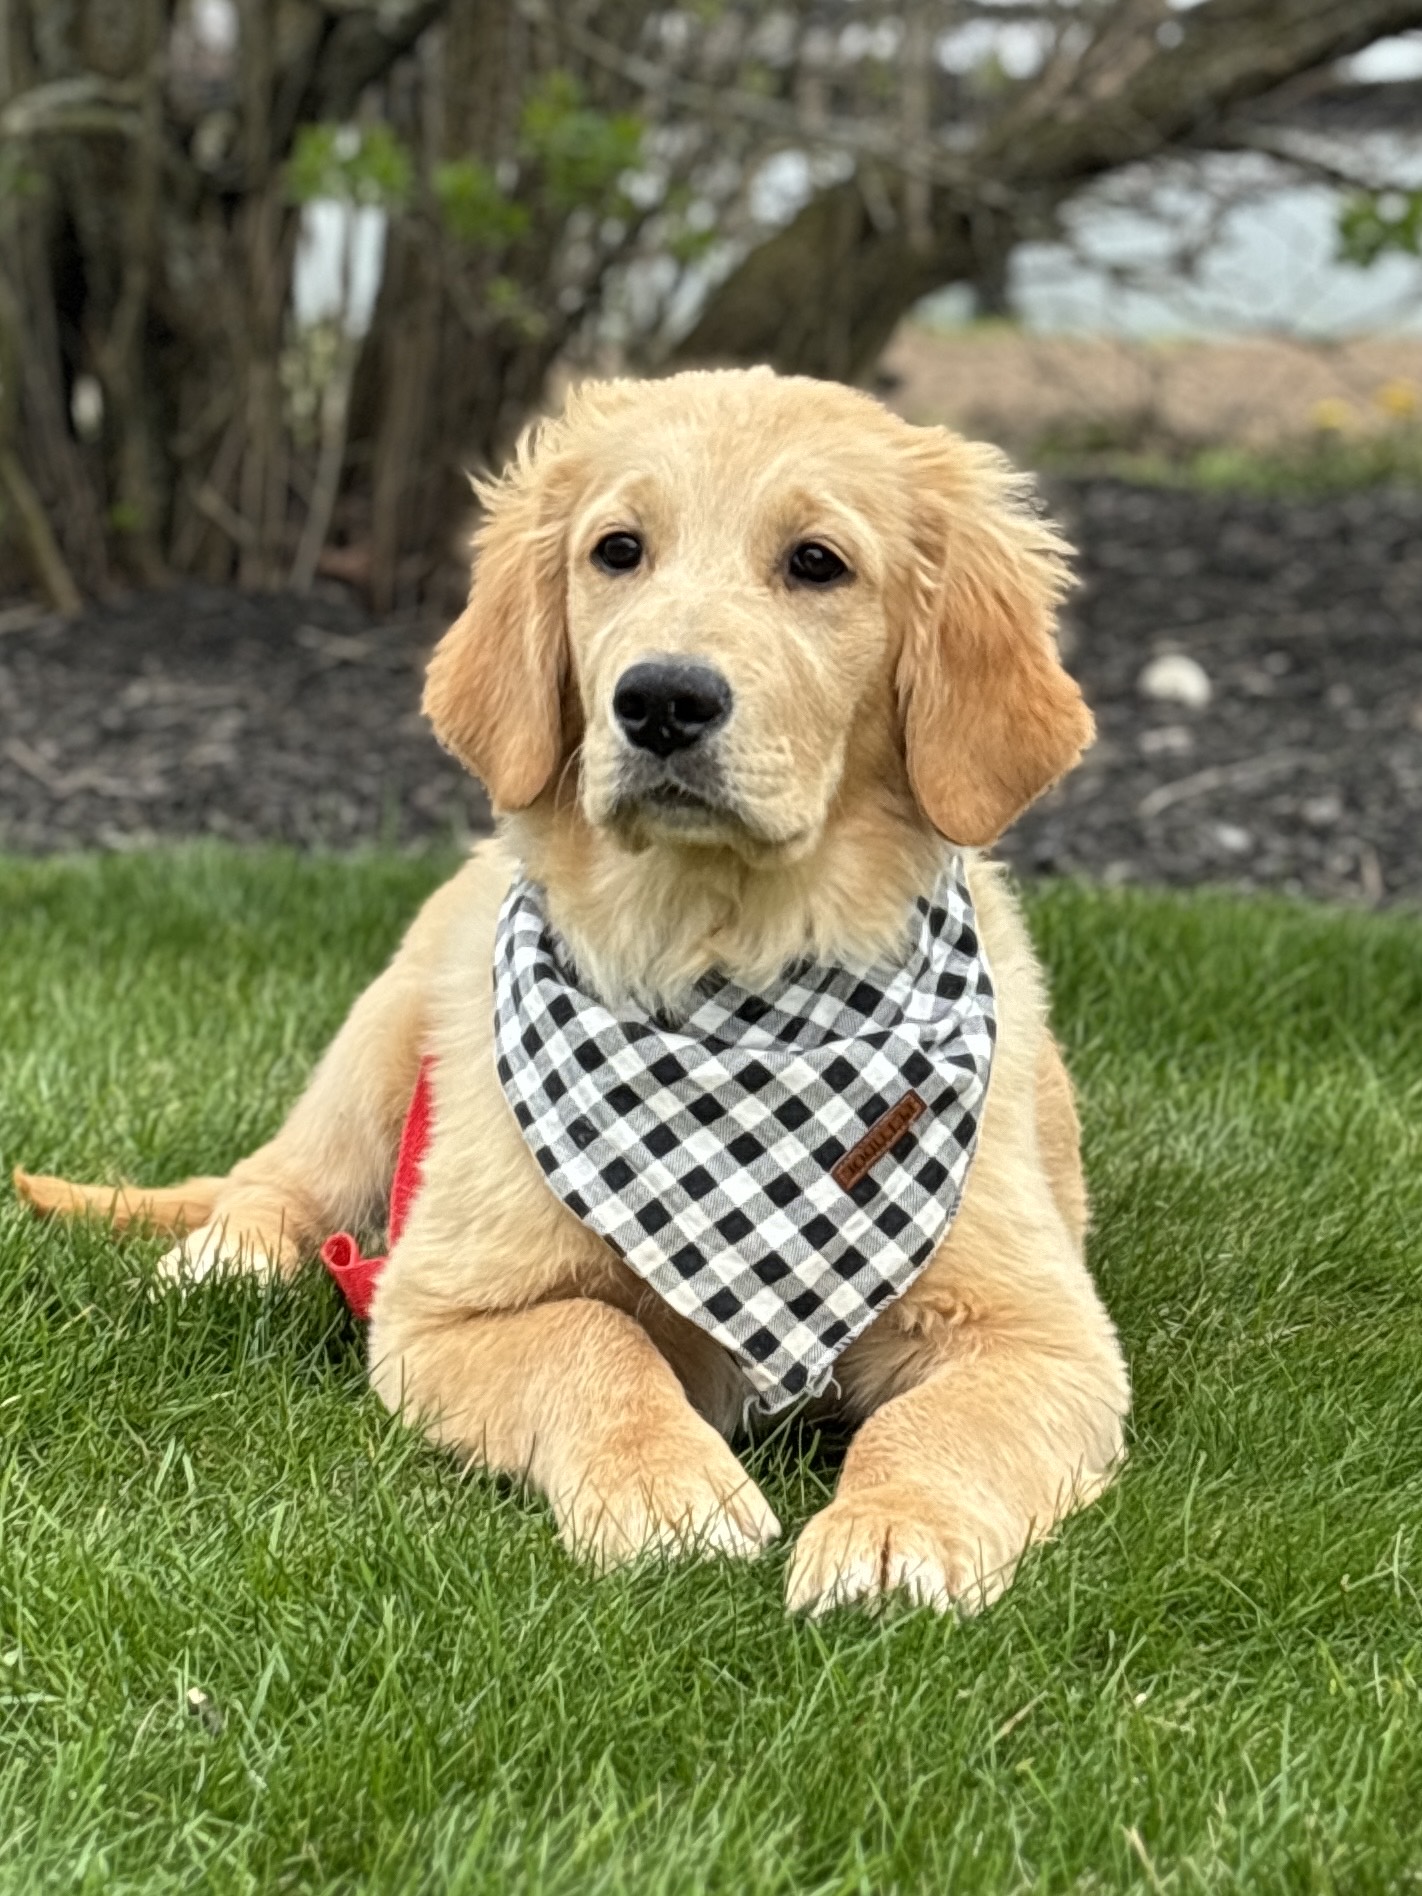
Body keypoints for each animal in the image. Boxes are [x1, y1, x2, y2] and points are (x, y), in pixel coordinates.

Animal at [19, 365, 1137, 1615]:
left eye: (817, 563)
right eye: (618, 551)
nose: (661, 702)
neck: (719, 968)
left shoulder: (1041, 1333)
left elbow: (939, 1425)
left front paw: (897, 1534)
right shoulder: (441, 1309)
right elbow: (596, 1344)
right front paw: (668, 1491)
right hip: (384, 1039)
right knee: (277, 1182)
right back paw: (226, 1261)